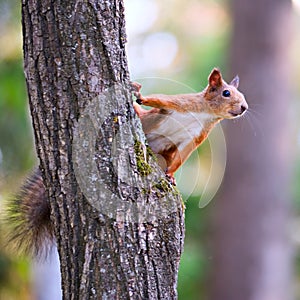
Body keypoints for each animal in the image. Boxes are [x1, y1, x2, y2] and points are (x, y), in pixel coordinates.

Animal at [5, 67, 247, 254]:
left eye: (241, 95)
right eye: (226, 92)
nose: (244, 107)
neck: (205, 114)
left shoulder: (193, 139)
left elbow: (180, 158)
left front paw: (170, 175)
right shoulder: (179, 103)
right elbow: (160, 99)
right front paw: (139, 95)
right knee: (141, 114)